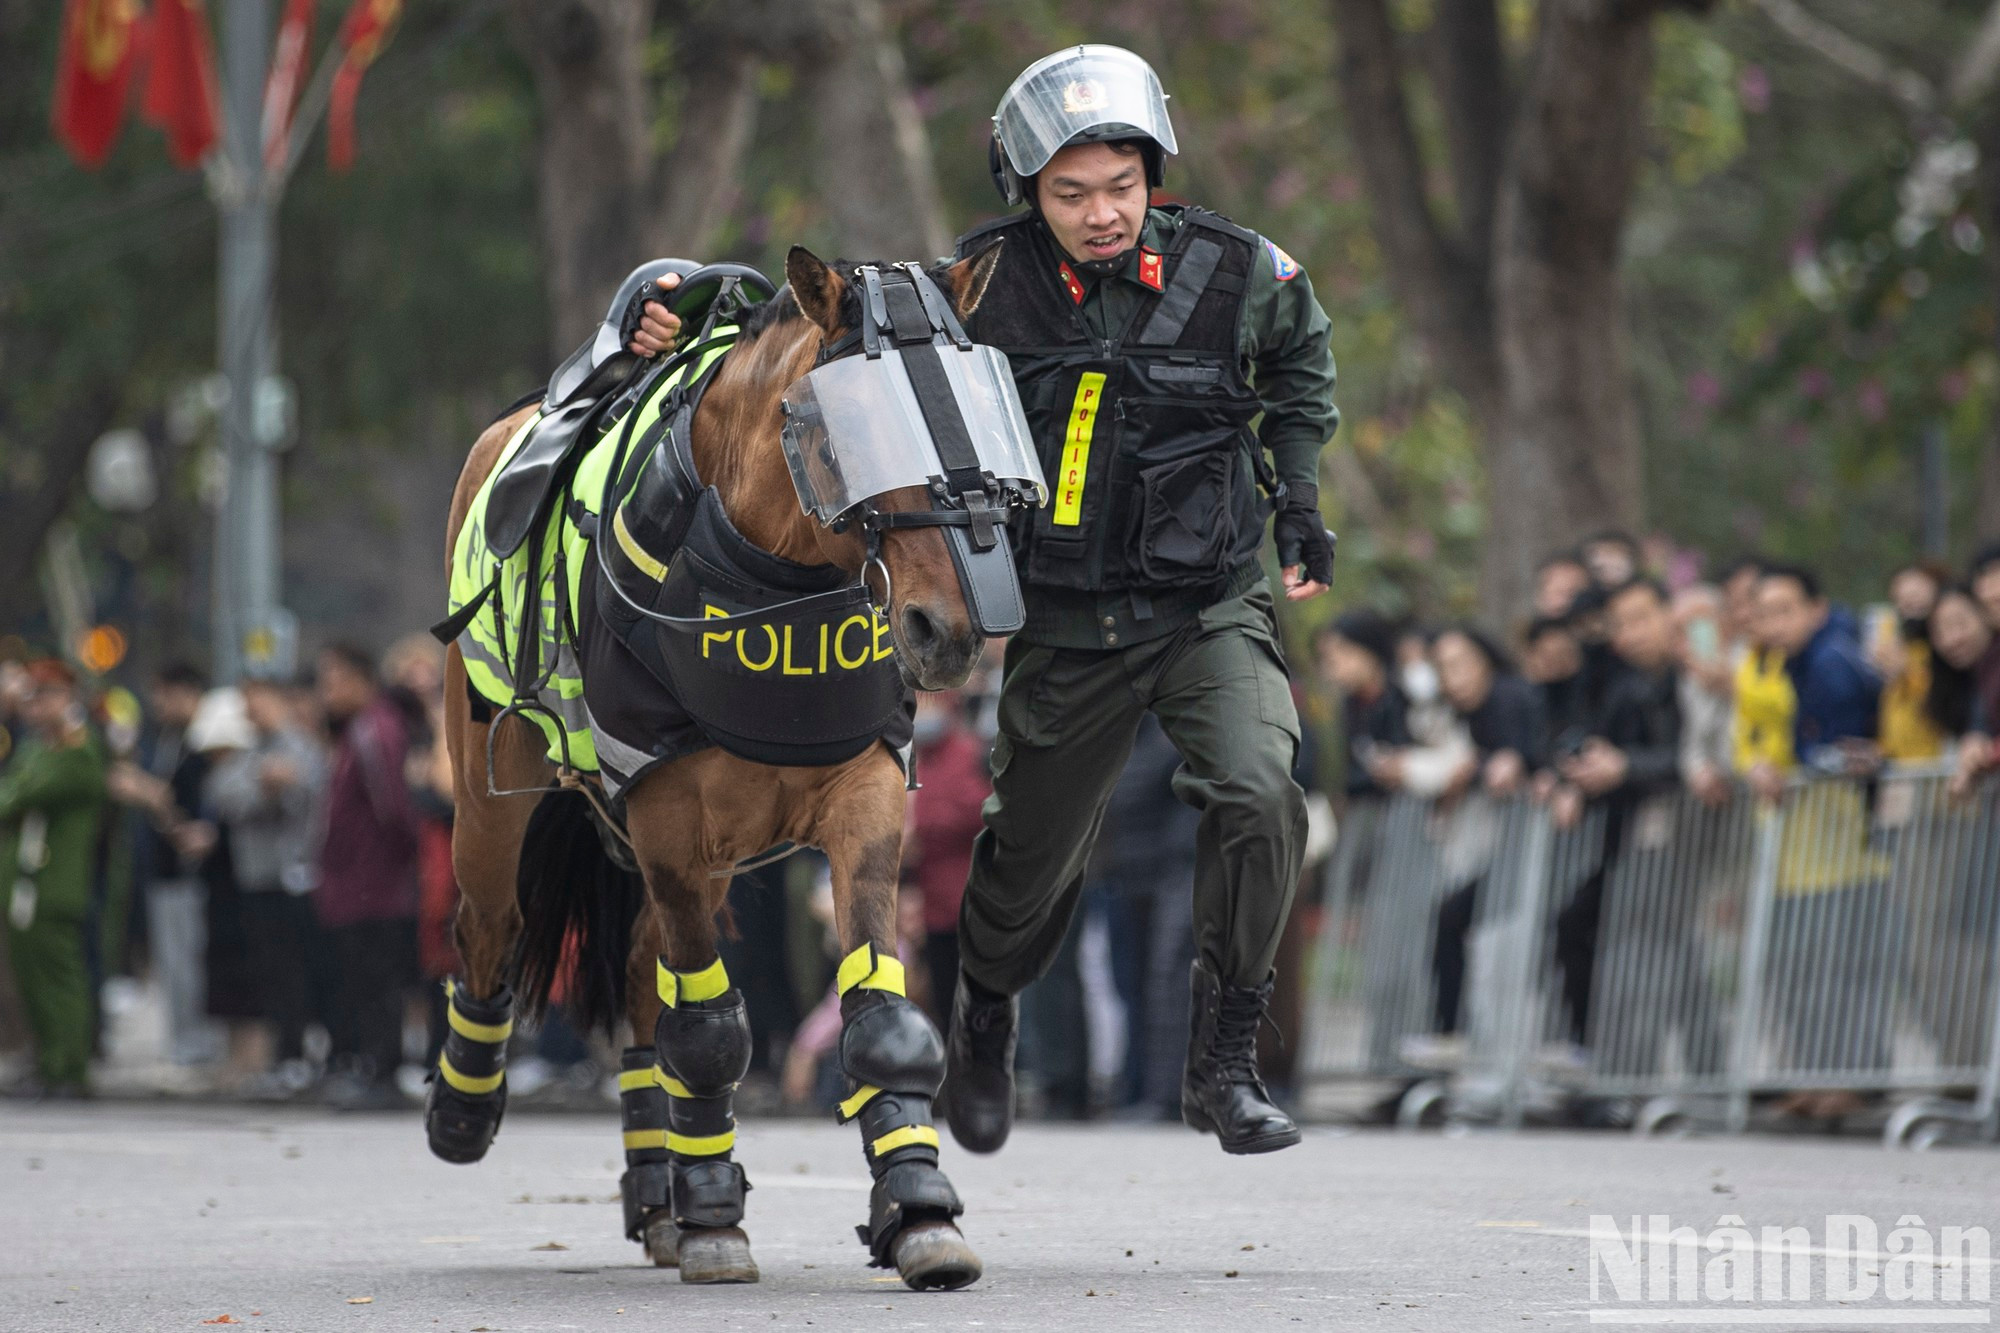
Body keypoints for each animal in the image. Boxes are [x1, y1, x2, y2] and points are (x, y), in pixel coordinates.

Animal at [433, 244, 1005, 1291]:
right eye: (852, 434)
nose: (945, 632)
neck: (769, 581)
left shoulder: (862, 800)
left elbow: (877, 1015)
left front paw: (916, 1203)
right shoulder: (666, 821)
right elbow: (709, 1032)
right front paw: (717, 1223)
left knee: (637, 980)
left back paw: (659, 1191)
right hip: (494, 798)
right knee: (492, 930)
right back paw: (467, 1104)